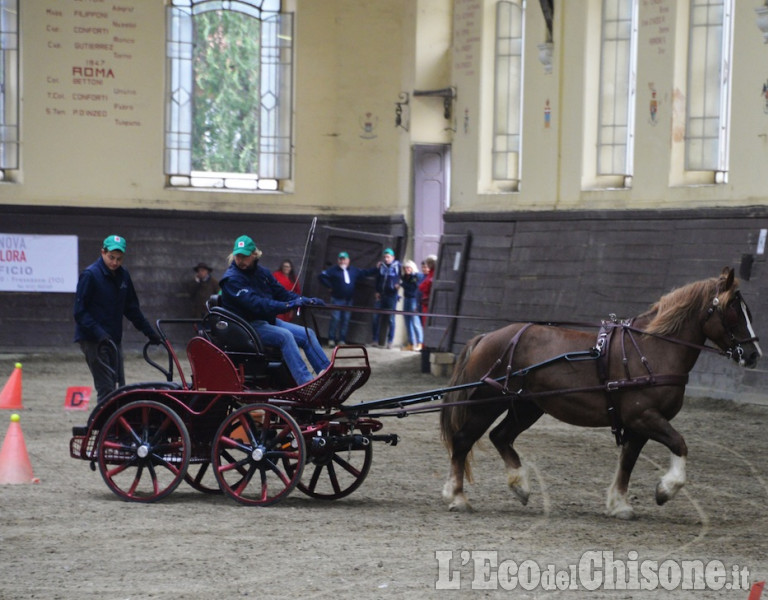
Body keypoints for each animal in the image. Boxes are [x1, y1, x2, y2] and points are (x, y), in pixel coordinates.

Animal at [440, 264, 760, 516]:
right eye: (733, 311)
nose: (753, 354)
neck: (652, 350)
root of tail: (486, 337)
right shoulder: (643, 416)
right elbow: (679, 444)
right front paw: (665, 490)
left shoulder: (638, 424)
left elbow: (628, 462)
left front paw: (619, 504)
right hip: (487, 402)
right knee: (463, 440)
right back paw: (457, 496)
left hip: (528, 406)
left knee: (500, 436)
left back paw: (520, 486)